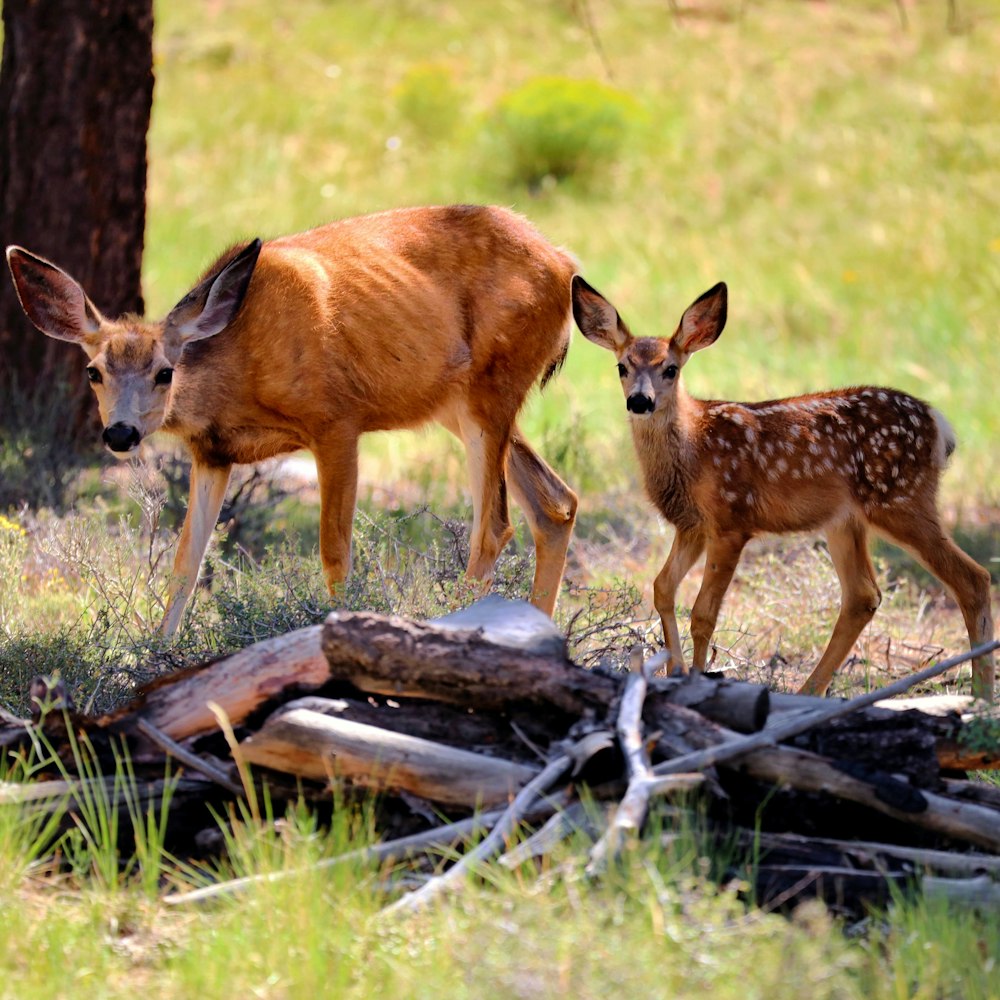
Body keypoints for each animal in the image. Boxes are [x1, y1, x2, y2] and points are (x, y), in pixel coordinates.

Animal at [7, 205, 580, 632]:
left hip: (491, 389)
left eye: (164, 372)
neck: (238, 372)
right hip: (460, 406)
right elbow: (185, 562)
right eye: (94, 371)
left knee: (495, 526)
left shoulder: (337, 420)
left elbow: (334, 552)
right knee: (556, 503)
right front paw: (154, 654)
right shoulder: (212, 454)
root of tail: (565, 264)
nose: (121, 432)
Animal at [576, 274, 996, 696]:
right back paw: (811, 691)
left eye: (671, 369)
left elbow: (704, 613)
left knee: (973, 579)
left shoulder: (732, 519)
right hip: (845, 521)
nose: (640, 401)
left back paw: (980, 694)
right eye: (622, 366)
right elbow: (662, 588)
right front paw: (673, 673)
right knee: (863, 595)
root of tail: (939, 424)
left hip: (900, 499)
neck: (695, 448)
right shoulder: (691, 525)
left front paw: (696, 678)